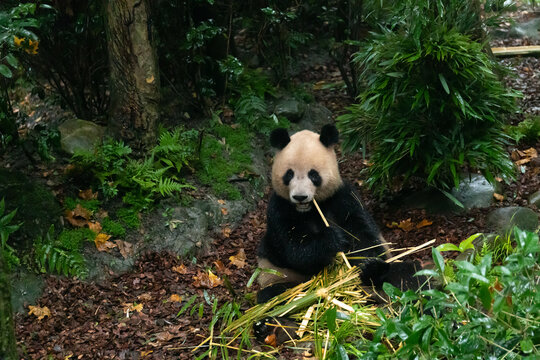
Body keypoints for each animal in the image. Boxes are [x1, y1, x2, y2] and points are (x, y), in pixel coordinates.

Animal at [255, 124, 424, 304]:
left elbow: (362, 233)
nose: (300, 197)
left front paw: (368, 265)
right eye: (289, 174)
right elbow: (294, 248)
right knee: (275, 294)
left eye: (313, 174)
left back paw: (380, 273)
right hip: (278, 275)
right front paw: (333, 239)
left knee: (408, 273)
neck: (310, 209)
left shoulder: (343, 197)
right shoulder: (279, 208)